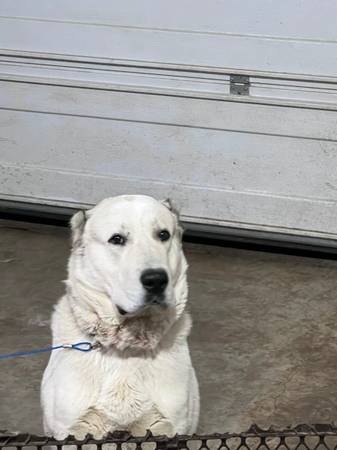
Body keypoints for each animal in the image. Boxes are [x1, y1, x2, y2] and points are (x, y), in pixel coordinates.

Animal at [40, 195, 198, 438]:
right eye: (117, 239)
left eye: (163, 235)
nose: (156, 280)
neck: (126, 347)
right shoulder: (73, 429)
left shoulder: (168, 427)